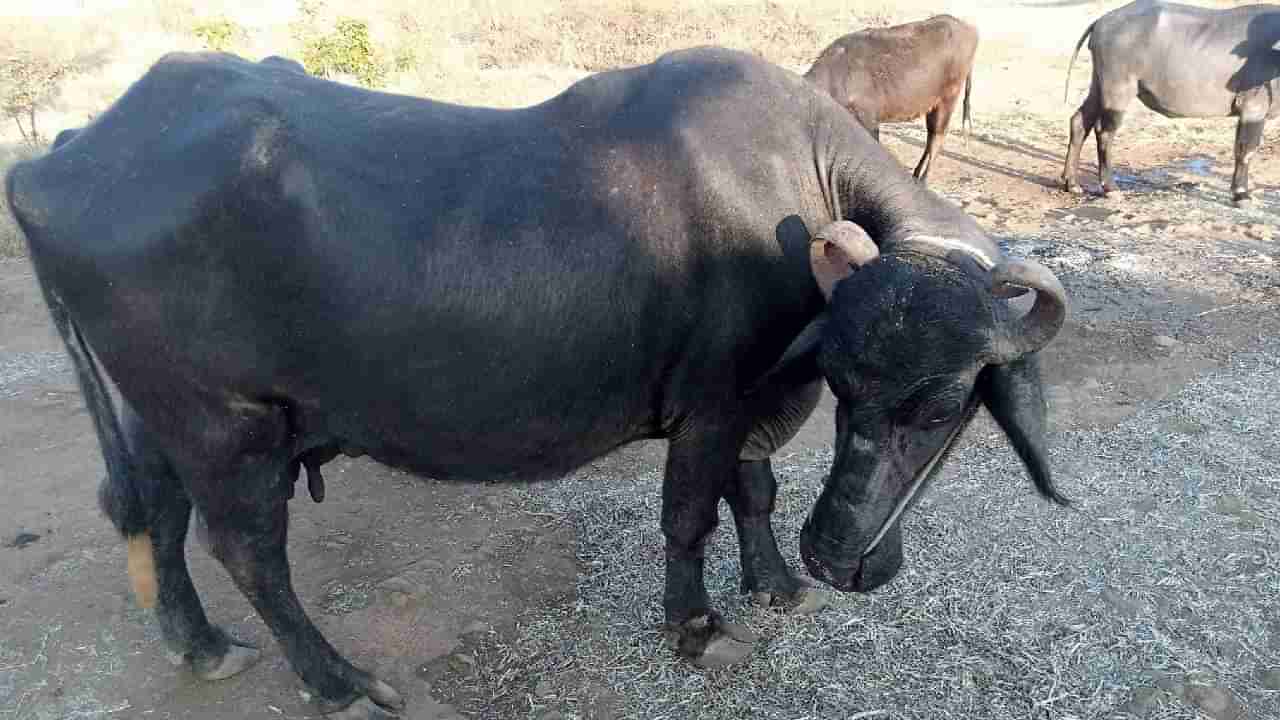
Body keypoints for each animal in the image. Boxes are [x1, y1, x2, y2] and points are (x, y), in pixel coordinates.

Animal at [7, 47, 1070, 712]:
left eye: (938, 403)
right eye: (867, 388)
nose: (841, 557)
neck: (793, 187)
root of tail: (62, 157)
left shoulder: (760, 396)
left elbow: (755, 489)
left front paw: (774, 582)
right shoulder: (716, 401)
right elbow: (692, 512)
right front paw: (699, 626)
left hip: (158, 417)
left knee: (154, 511)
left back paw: (200, 644)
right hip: (228, 426)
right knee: (248, 551)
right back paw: (343, 683)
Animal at [798, 15, 977, 181]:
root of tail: (967, 28)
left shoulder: (869, 120)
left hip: (948, 98)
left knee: (937, 139)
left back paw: (924, 180)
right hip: (933, 105)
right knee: (930, 137)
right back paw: (916, 175)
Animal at [1059, 0, 1280, 203]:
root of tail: (1102, 21)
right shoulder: (1252, 108)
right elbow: (1246, 149)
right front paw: (1241, 193)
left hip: (1098, 85)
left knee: (1079, 122)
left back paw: (1071, 182)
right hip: (1117, 90)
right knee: (1104, 133)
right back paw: (1110, 187)